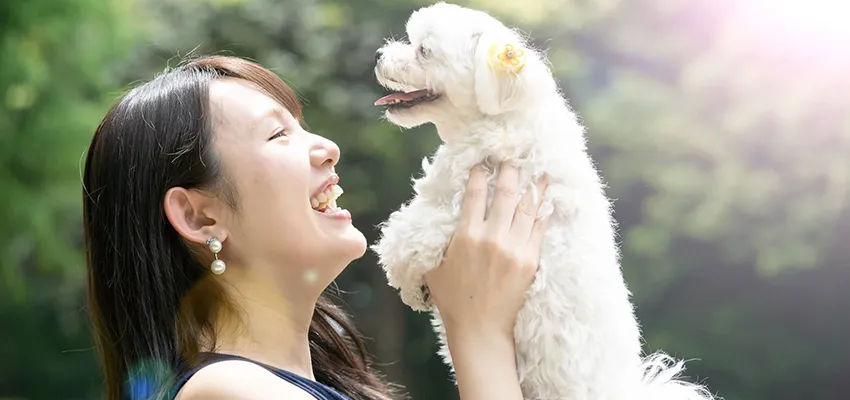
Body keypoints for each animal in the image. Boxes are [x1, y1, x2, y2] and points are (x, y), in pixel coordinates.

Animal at [372, 3, 716, 400]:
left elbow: (406, 236)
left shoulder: (464, 208)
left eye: (424, 51)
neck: (499, 120)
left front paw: (408, 281)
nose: (378, 55)